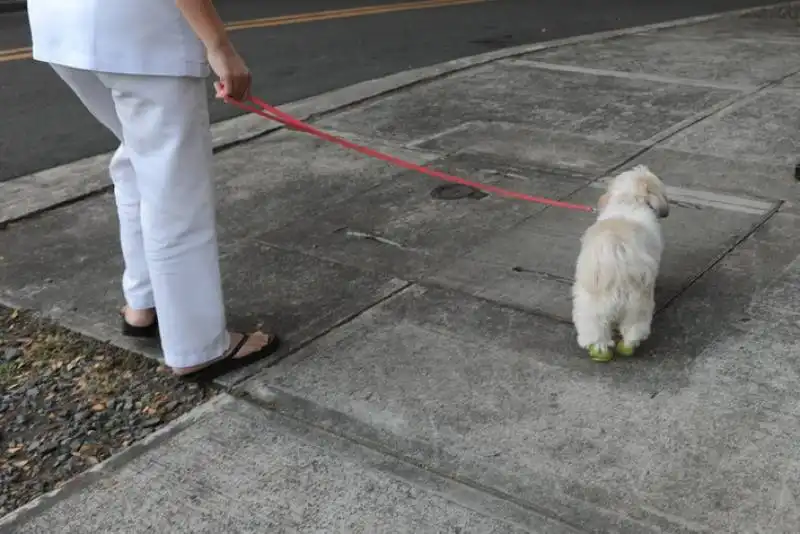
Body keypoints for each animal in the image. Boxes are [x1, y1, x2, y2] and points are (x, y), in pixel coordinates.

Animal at [572, 165, 672, 362]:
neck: (629, 199)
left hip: (590, 304)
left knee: (595, 328)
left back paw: (600, 351)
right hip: (637, 302)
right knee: (634, 326)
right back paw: (629, 346)